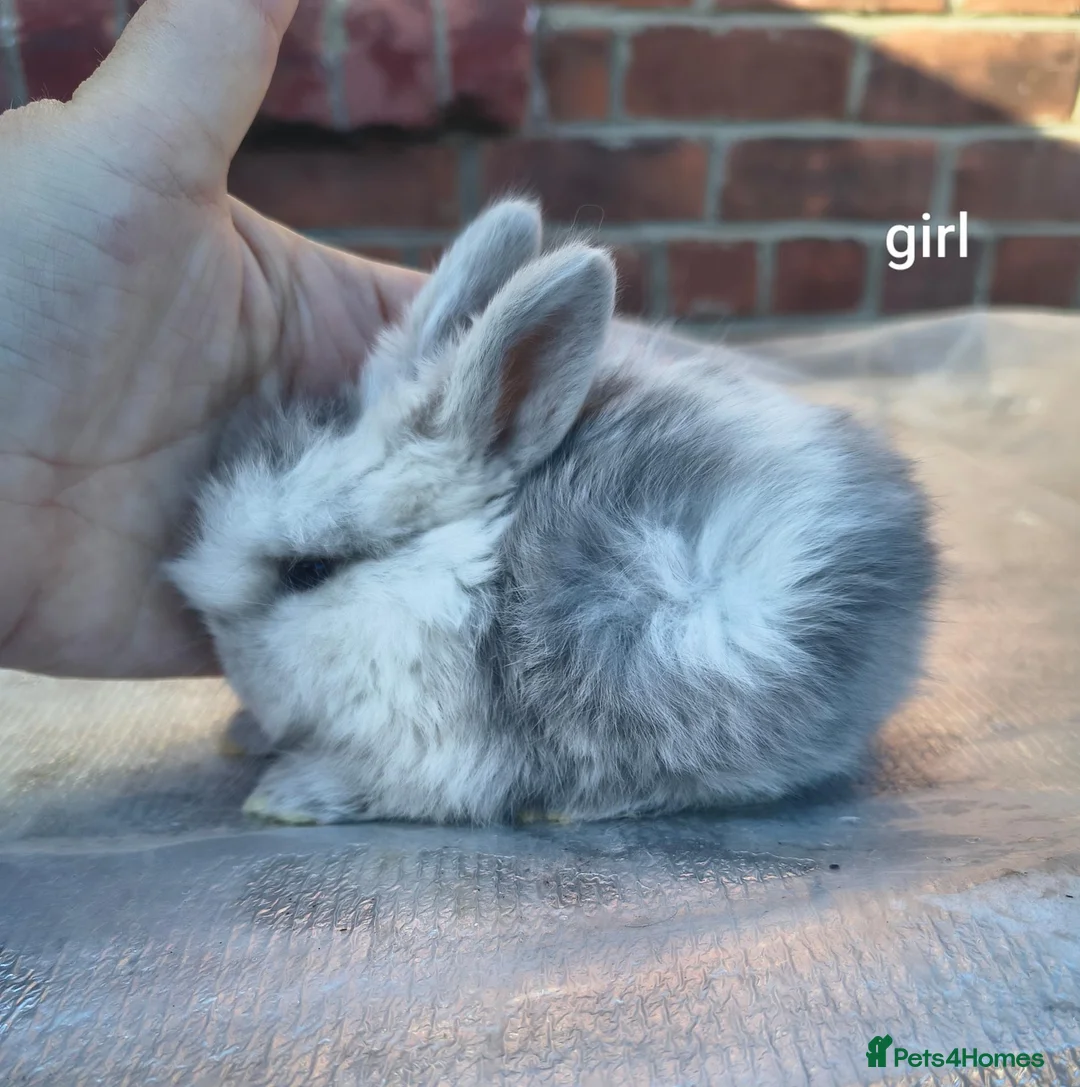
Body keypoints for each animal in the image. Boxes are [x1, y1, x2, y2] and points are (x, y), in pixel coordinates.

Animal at [166, 198, 937, 826]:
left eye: (309, 570)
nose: (236, 667)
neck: (457, 577)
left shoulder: (441, 756)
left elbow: (386, 785)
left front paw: (286, 793)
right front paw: (245, 733)